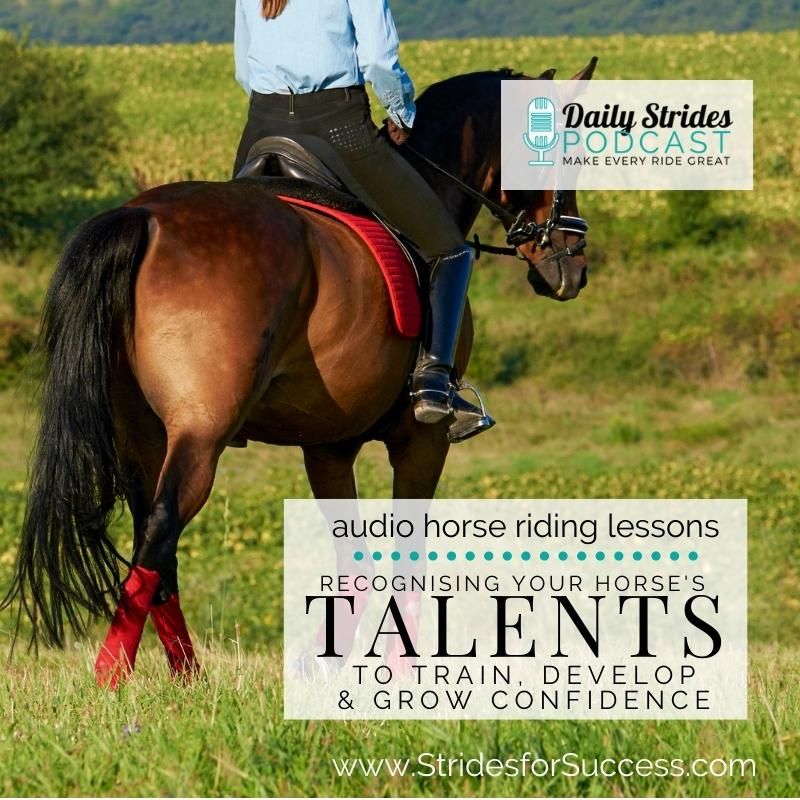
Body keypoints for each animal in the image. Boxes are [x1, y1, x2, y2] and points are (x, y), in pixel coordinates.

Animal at [2, 59, 596, 686]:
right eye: (561, 151)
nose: (572, 266)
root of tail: (142, 216)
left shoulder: (327, 447)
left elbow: (354, 560)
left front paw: (323, 666)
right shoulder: (421, 439)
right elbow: (405, 553)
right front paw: (401, 671)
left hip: (143, 436)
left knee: (153, 544)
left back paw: (187, 679)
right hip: (200, 433)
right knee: (161, 528)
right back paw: (112, 678)